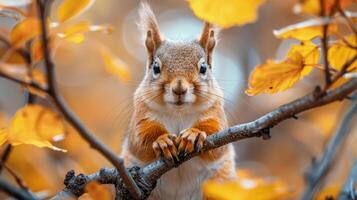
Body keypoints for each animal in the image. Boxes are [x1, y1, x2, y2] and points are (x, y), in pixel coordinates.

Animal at [121, 3, 235, 200]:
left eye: (203, 68)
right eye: (156, 67)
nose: (179, 89)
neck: (178, 112)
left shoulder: (215, 113)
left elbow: (215, 140)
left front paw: (193, 135)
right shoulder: (141, 115)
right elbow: (140, 140)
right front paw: (163, 141)